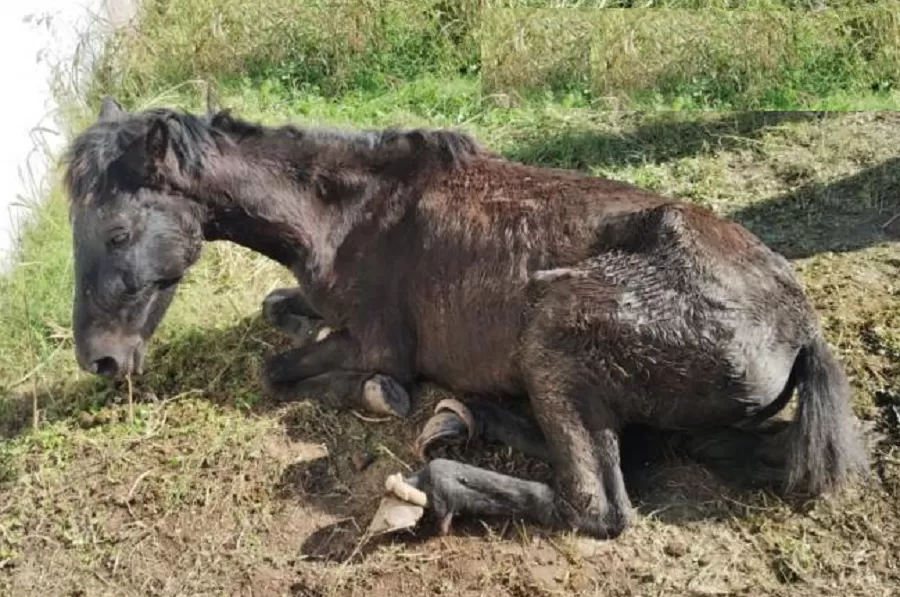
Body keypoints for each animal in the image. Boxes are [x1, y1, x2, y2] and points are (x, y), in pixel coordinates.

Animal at [61, 96, 864, 536]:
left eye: (119, 233)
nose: (100, 360)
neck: (349, 215)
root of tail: (800, 328)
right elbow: (280, 312)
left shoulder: (376, 340)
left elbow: (283, 367)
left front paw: (380, 395)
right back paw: (467, 417)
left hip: (554, 330)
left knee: (597, 505)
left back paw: (427, 482)